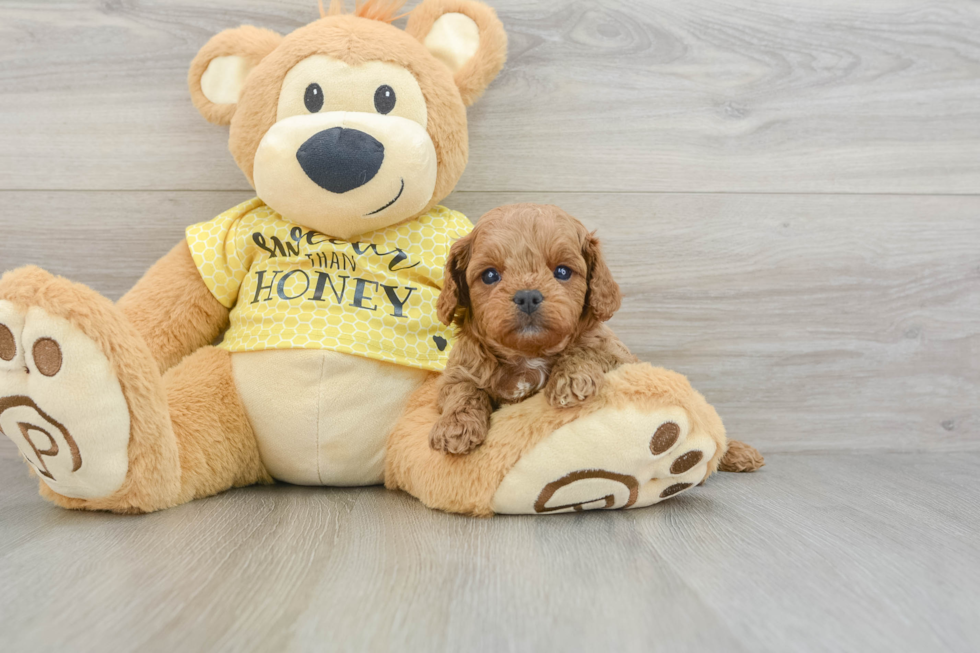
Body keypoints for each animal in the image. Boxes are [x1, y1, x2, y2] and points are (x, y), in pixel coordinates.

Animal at [428, 202, 636, 454]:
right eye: (489, 275)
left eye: (563, 272)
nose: (527, 297)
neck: (528, 355)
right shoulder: (458, 371)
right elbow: (463, 390)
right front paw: (455, 425)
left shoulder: (618, 354)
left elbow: (585, 350)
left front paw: (571, 379)